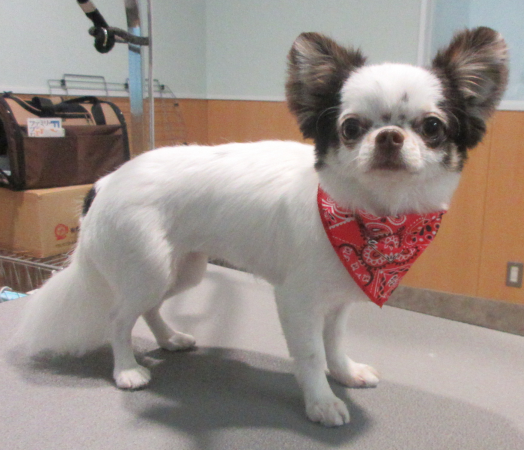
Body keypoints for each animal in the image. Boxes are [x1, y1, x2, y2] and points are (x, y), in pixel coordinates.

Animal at [18, 27, 508, 427]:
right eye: (350, 128)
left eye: (432, 127)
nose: (389, 136)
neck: (375, 216)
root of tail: (105, 182)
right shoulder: (298, 300)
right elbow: (310, 353)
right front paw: (321, 402)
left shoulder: (339, 297)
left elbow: (334, 342)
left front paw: (345, 373)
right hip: (148, 267)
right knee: (119, 317)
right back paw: (126, 370)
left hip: (181, 269)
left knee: (149, 308)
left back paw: (170, 338)